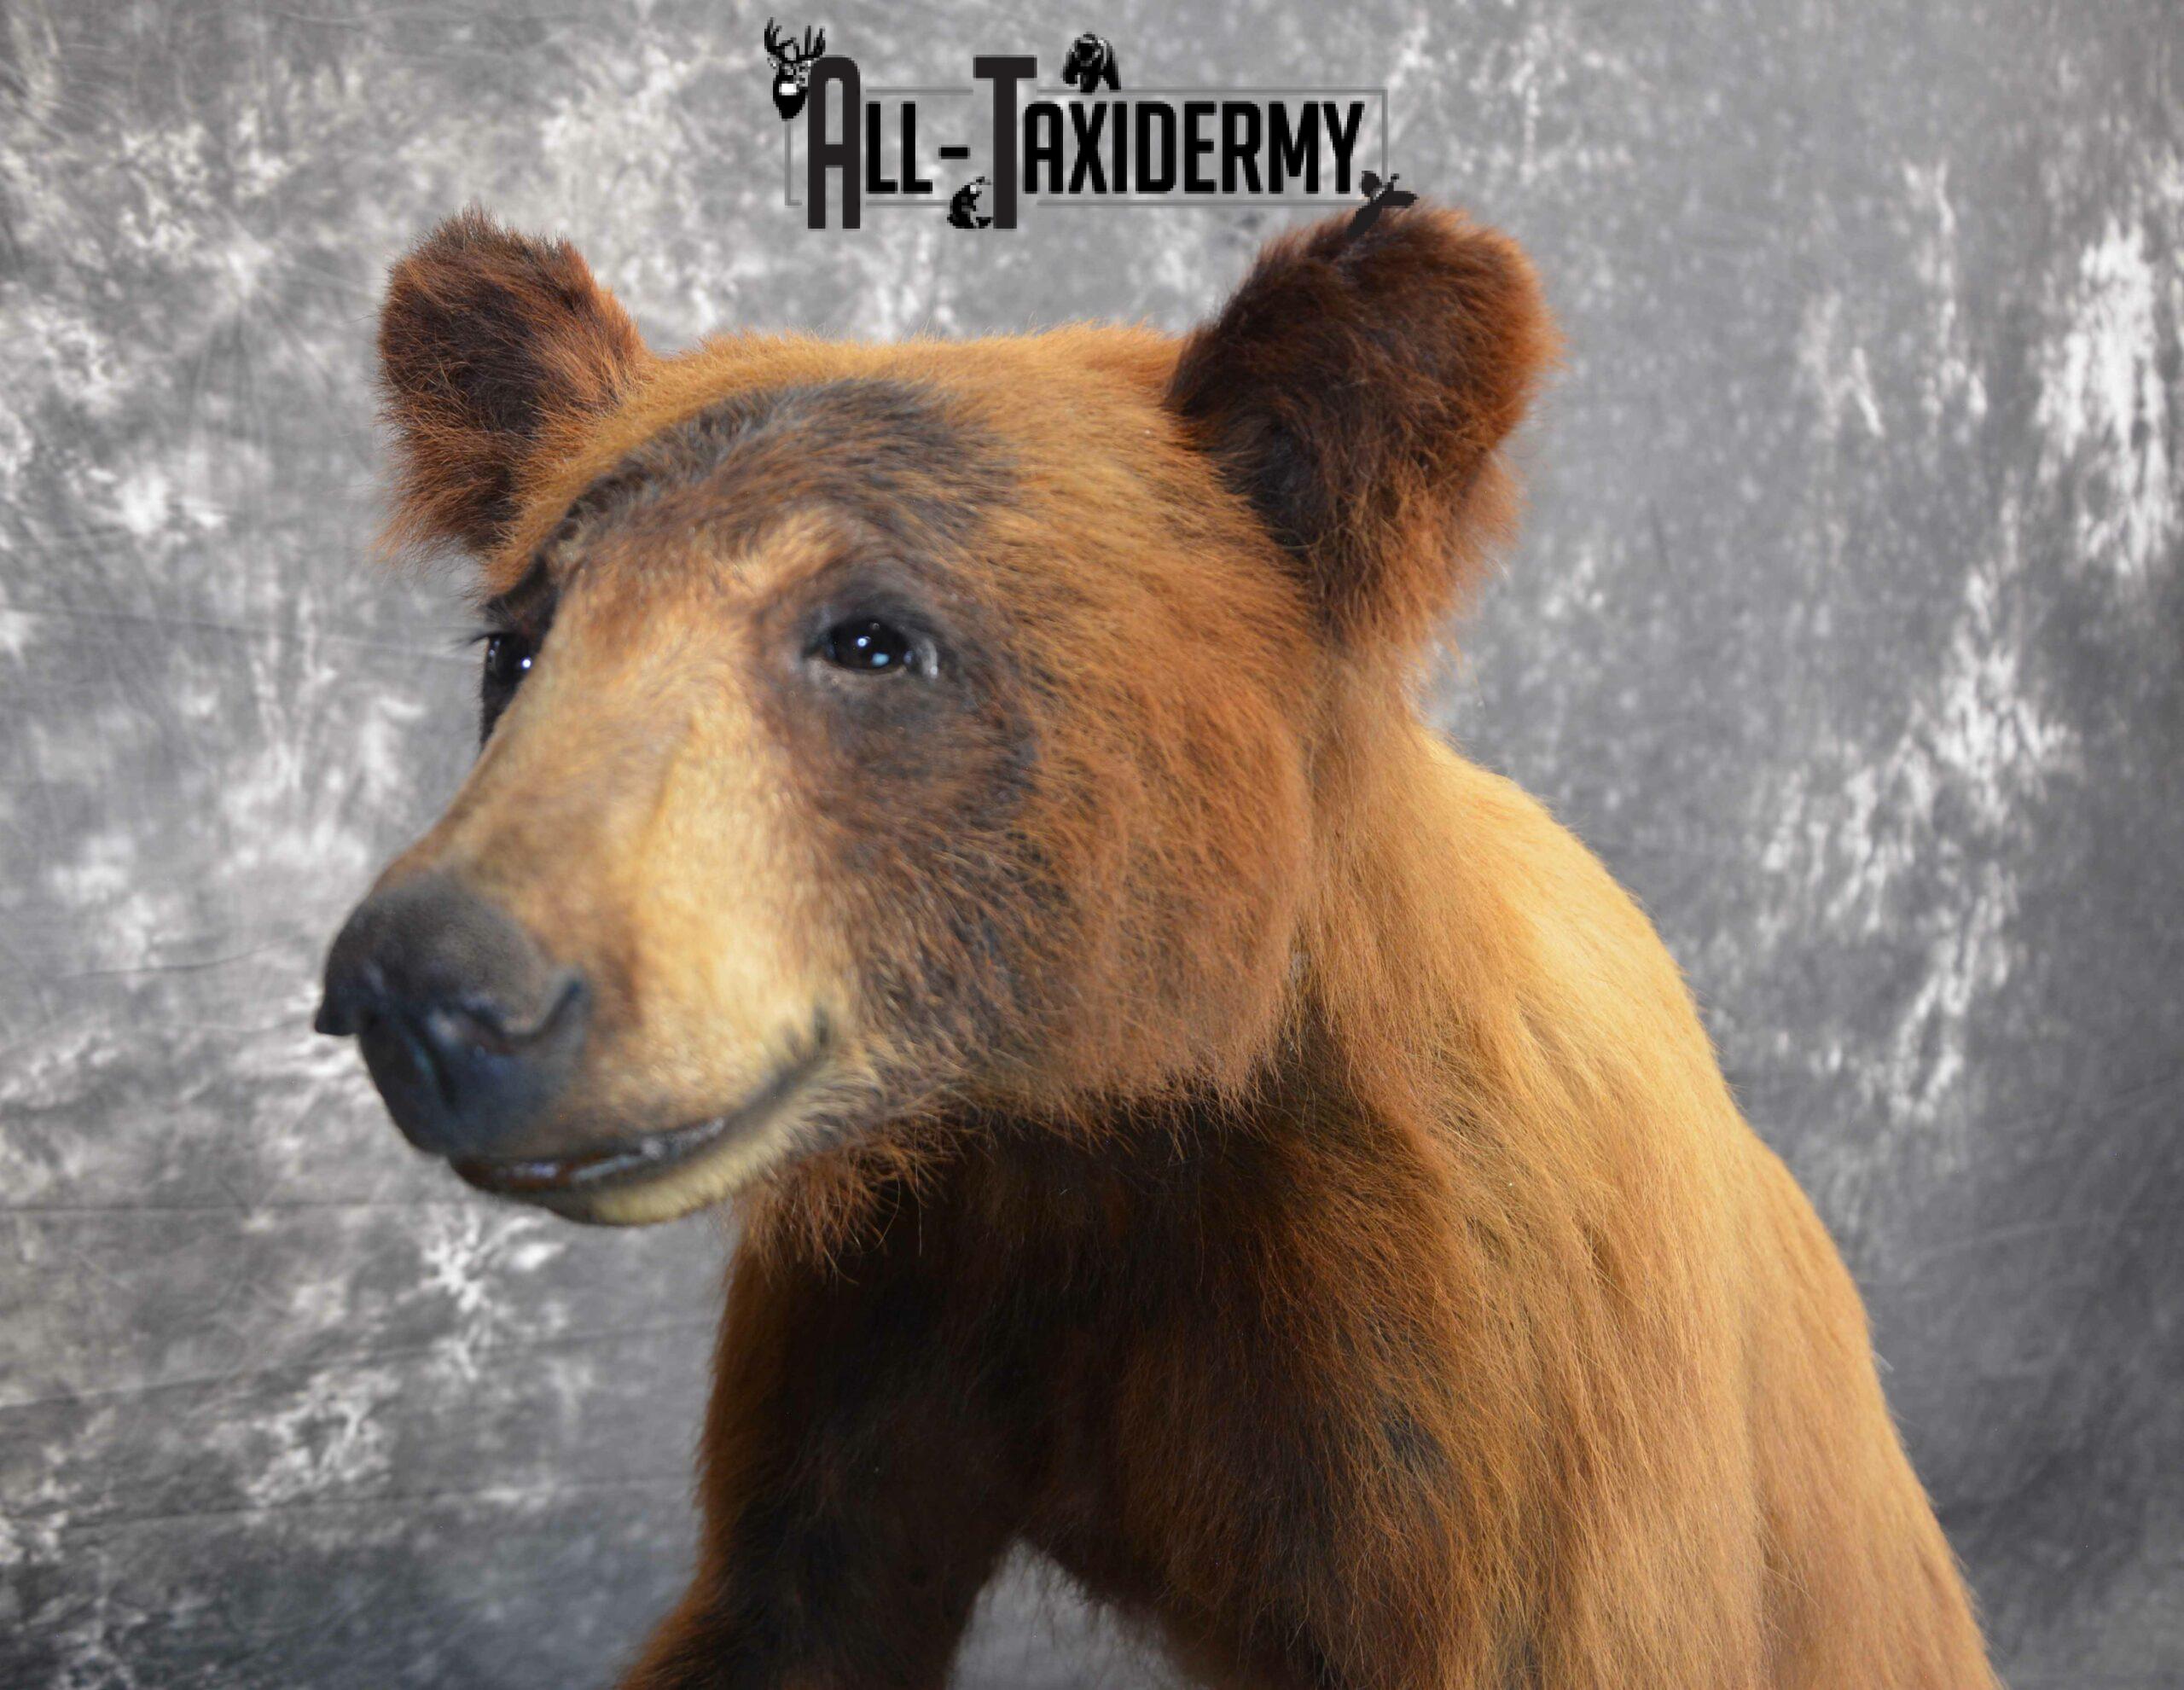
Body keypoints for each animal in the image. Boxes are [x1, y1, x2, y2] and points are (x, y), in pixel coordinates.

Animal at [316, 202, 1999, 1689]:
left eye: (870, 637)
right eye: (516, 642)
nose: (426, 981)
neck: (1105, 1118)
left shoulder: (1490, 1392)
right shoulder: (900, 1300)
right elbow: (794, 1604)